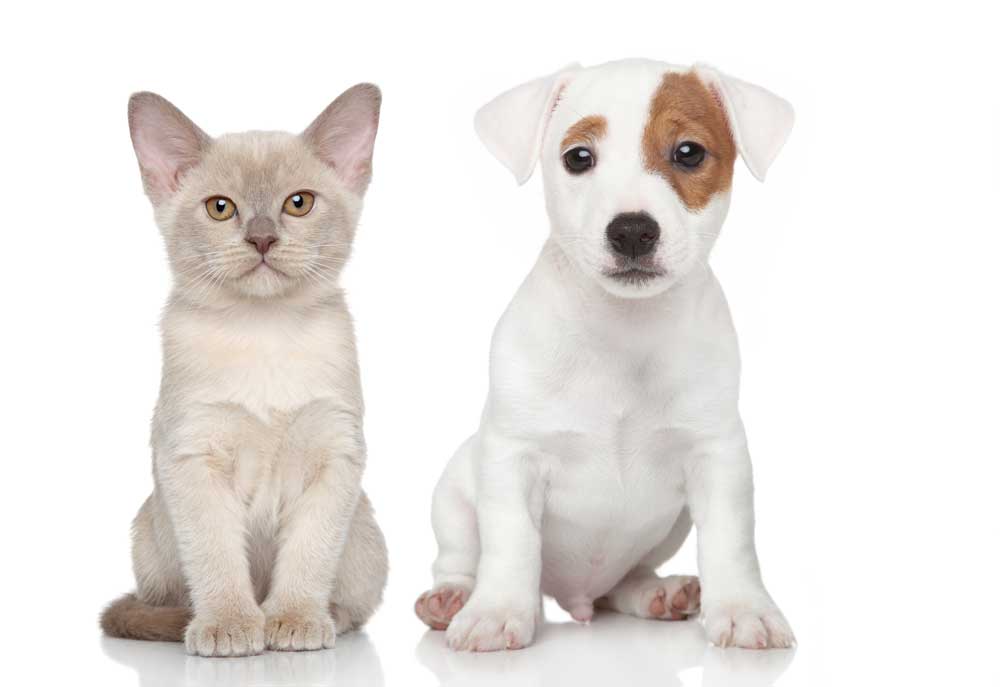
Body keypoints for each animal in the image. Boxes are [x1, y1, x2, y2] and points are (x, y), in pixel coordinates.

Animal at [98, 83, 386, 660]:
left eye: (299, 203)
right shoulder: (194, 458)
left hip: (366, 535)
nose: (262, 239)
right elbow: (216, 557)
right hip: (149, 536)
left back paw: (326, 618)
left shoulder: (334, 456)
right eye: (220, 208)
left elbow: (308, 555)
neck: (265, 331)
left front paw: (294, 621)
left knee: (354, 606)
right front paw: (229, 627)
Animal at [414, 57, 796, 652]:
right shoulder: (512, 458)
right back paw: (452, 598)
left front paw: (743, 608)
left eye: (689, 152)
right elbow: (511, 542)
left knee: (623, 584)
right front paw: (496, 611)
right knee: (457, 556)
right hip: (454, 490)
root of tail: (575, 597)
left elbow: (731, 541)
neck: (624, 327)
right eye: (579, 157)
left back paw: (659, 592)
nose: (633, 230)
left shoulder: (718, 455)